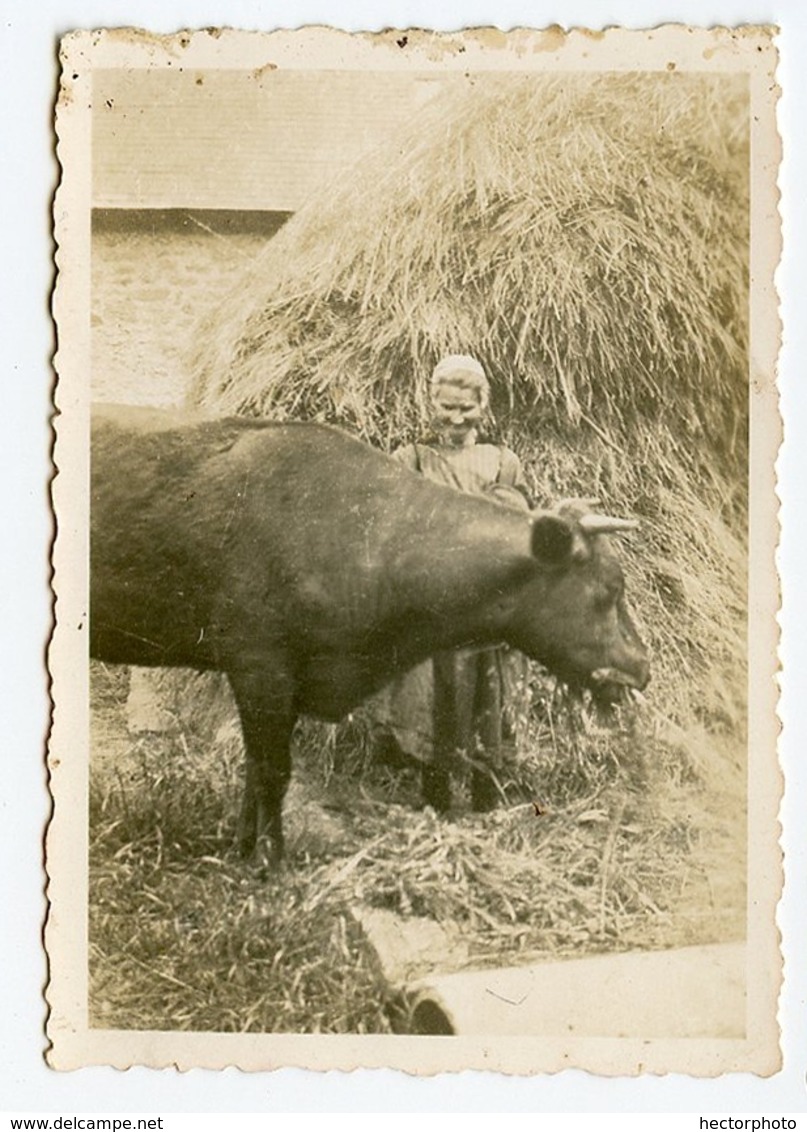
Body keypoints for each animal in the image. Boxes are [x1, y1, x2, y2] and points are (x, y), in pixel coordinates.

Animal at [92, 407, 647, 855]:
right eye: (610, 588)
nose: (641, 665)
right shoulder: (259, 665)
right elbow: (272, 772)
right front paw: (269, 860)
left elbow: (256, 770)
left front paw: (245, 847)